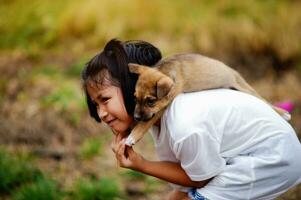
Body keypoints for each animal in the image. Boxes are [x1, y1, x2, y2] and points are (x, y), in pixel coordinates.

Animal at [124, 54, 288, 146]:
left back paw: (283, 113)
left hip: (242, 87)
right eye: (135, 98)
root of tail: (233, 71)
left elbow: (146, 122)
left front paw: (133, 136)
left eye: (151, 101)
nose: (135, 117)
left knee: (263, 100)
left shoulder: (163, 105)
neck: (165, 70)